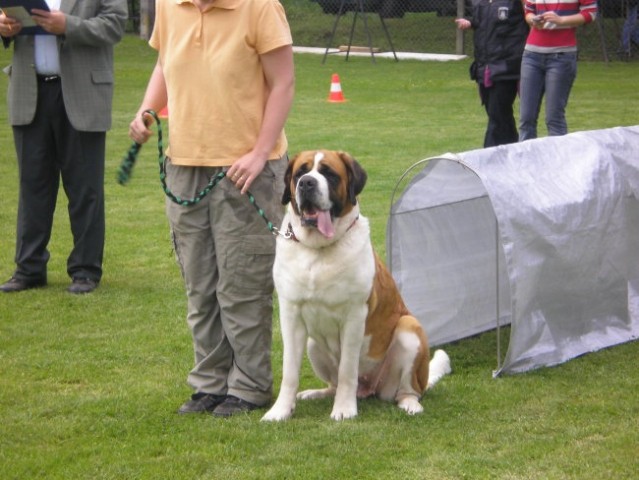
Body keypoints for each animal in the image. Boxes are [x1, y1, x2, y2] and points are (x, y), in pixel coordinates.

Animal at [260, 149, 450, 420]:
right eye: (299, 173)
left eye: (329, 174)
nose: (306, 183)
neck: (318, 251)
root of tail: (369, 388)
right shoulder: (291, 314)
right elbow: (290, 371)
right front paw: (280, 411)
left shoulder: (354, 316)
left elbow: (347, 369)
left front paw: (344, 410)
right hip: (313, 344)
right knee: (332, 383)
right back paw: (317, 393)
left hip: (409, 330)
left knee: (408, 389)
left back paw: (409, 404)